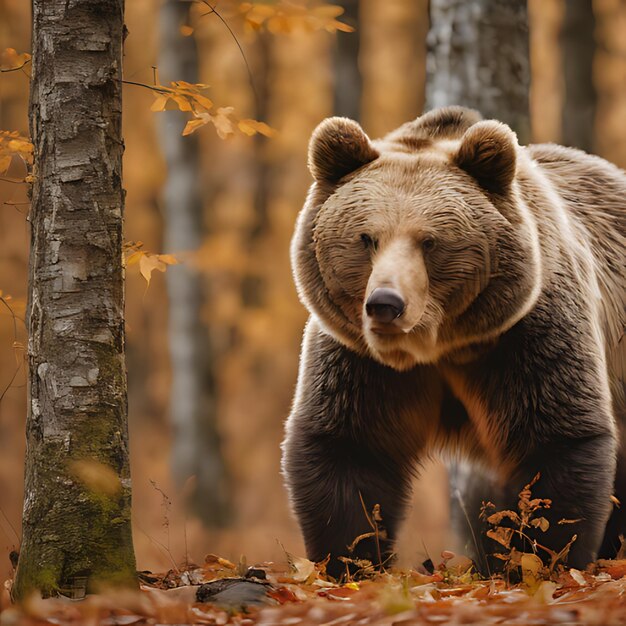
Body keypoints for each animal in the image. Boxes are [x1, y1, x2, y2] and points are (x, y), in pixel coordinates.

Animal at [282, 103, 624, 576]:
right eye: (367, 238)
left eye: (430, 241)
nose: (385, 303)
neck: (439, 346)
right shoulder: (360, 358)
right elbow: (351, 449)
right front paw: (351, 562)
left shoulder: (528, 334)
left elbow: (555, 442)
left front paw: (540, 561)